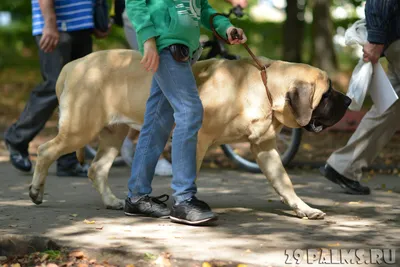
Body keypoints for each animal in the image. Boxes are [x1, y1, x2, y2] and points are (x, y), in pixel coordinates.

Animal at [28, 49, 350, 220]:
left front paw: (304, 208)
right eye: (327, 93)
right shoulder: (198, 138)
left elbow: (284, 182)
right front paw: (184, 206)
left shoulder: (264, 148)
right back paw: (35, 192)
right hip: (80, 129)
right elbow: (188, 172)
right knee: (45, 151)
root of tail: (72, 65)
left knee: (97, 168)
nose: (347, 101)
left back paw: (112, 201)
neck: (264, 85)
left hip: (112, 134)